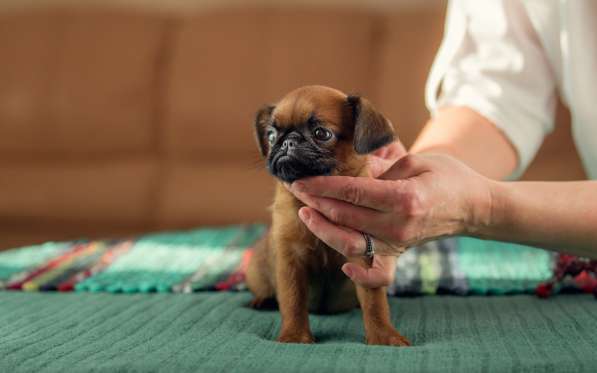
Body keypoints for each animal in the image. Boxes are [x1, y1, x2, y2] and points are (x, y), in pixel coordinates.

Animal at [247, 85, 410, 346]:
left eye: (321, 133)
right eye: (271, 136)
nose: (286, 142)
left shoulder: (362, 260)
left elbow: (375, 303)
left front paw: (384, 336)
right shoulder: (290, 261)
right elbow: (293, 300)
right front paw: (294, 336)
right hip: (256, 269)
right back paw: (263, 300)